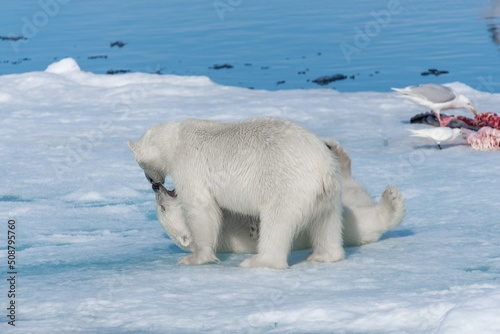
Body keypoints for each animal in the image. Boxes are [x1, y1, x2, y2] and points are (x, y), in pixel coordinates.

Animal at [128, 117, 344, 268]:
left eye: (140, 164)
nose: (154, 184)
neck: (175, 140)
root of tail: (322, 169)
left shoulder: (188, 165)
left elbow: (200, 208)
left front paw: (195, 258)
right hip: (328, 193)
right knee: (326, 222)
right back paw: (323, 255)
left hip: (287, 186)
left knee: (277, 222)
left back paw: (257, 261)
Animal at [152, 140, 406, 253]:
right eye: (162, 209)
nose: (156, 187)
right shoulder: (233, 237)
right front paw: (255, 226)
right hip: (351, 225)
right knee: (362, 221)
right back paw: (392, 202)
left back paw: (335, 150)